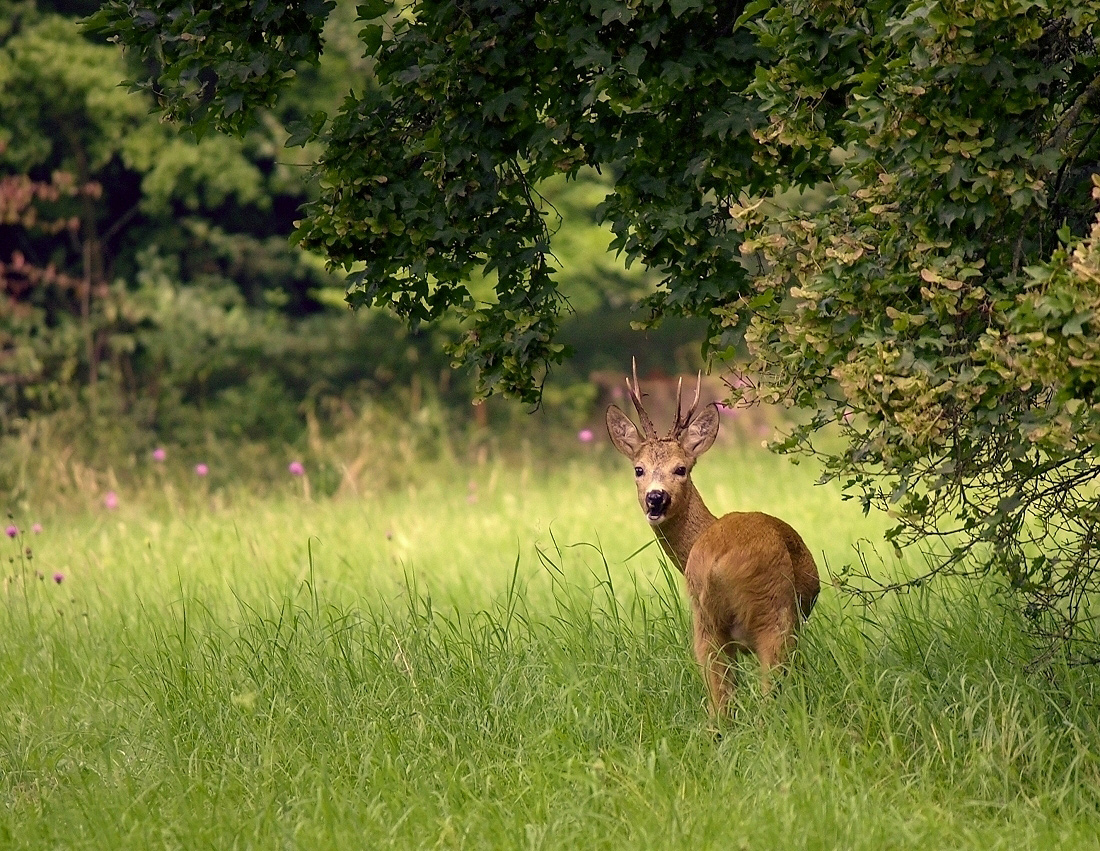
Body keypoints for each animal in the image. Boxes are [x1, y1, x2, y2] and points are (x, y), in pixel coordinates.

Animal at [607, 360, 822, 721]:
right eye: (639, 469)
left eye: (681, 468)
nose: (655, 498)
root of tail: (718, 564)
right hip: (774, 614)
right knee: (767, 696)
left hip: (705, 624)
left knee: (719, 706)